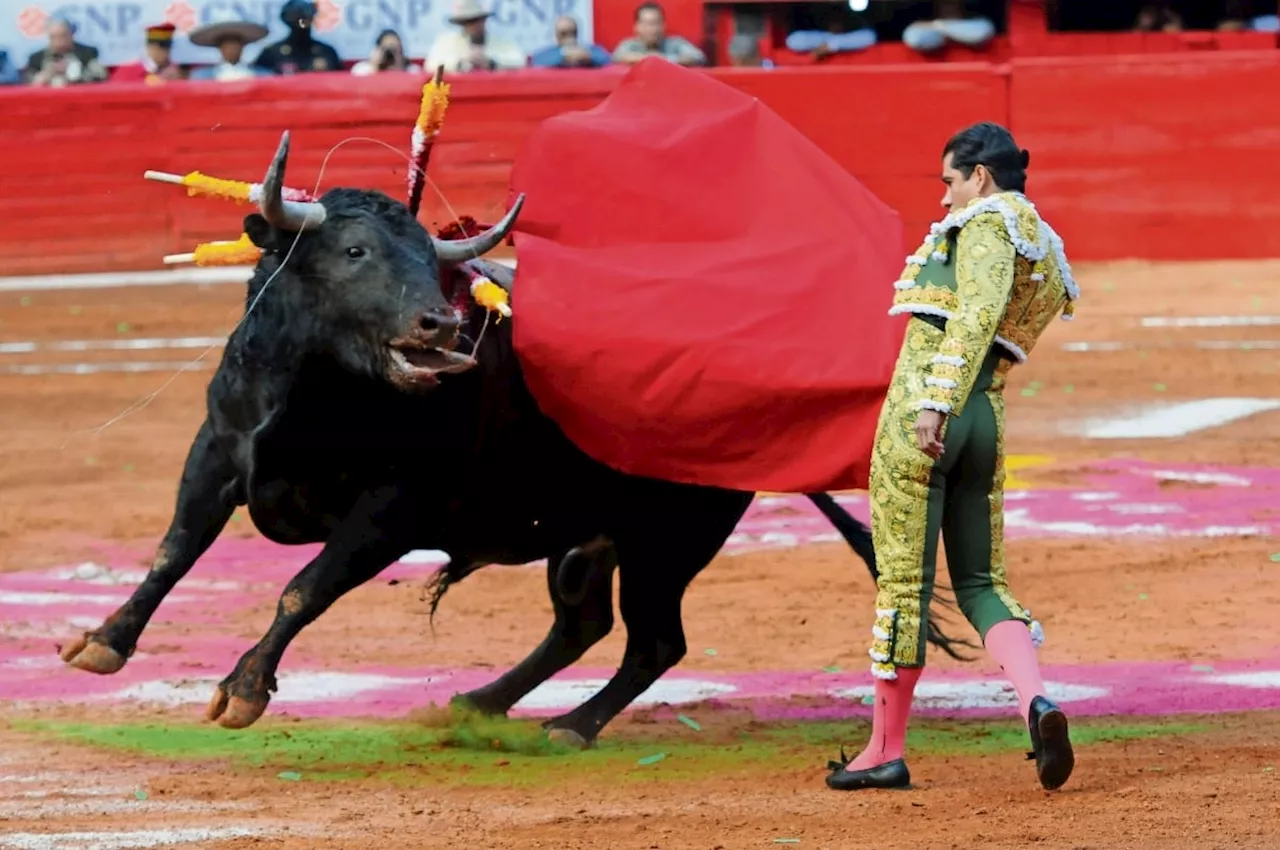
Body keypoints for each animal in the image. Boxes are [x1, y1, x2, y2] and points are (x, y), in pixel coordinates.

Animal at [55, 133, 962, 742]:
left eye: (429, 260)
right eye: (353, 250)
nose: (441, 324)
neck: (317, 393)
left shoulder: (390, 510)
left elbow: (302, 589)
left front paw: (243, 689)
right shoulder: (216, 455)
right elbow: (172, 552)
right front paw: (102, 643)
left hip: (673, 533)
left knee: (654, 640)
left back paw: (571, 725)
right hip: (589, 537)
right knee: (584, 624)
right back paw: (482, 701)